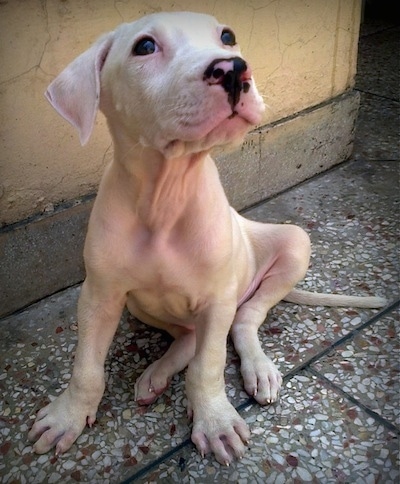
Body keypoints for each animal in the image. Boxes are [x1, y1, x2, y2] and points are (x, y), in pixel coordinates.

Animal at [27, 12, 384, 466]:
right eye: (145, 46)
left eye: (227, 36)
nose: (233, 69)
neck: (165, 196)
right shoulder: (100, 294)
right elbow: (86, 366)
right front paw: (68, 416)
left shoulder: (217, 300)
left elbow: (209, 365)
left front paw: (214, 422)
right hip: (138, 304)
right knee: (187, 337)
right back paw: (157, 374)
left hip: (292, 245)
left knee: (244, 320)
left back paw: (257, 369)